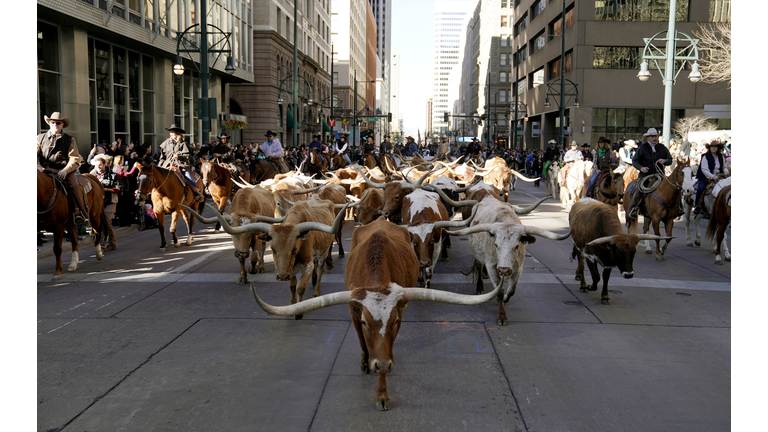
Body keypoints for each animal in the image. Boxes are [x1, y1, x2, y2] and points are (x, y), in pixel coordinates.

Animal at [252, 218, 504, 410]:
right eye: (365, 321)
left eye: (395, 320)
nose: (382, 365)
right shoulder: (353, 313)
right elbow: (363, 343)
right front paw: (366, 363)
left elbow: (384, 352)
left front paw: (381, 393)